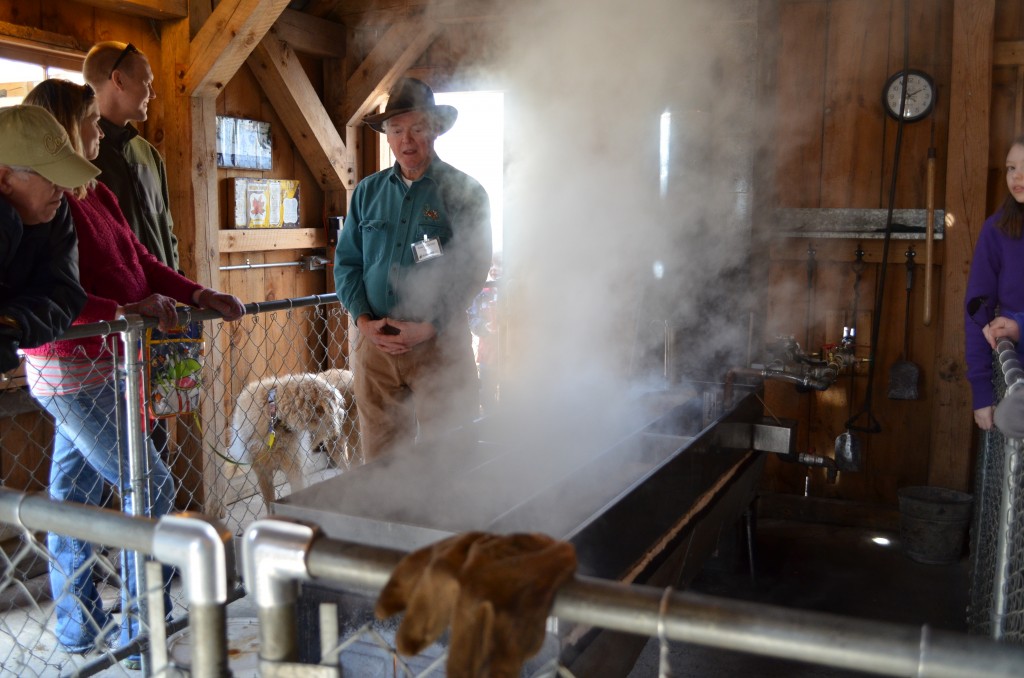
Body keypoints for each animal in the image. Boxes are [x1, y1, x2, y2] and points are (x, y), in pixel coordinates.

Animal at [227, 372, 360, 510]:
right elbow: (269, 505)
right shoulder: (263, 473)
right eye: (335, 405)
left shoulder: (295, 471)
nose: (343, 413)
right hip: (335, 448)